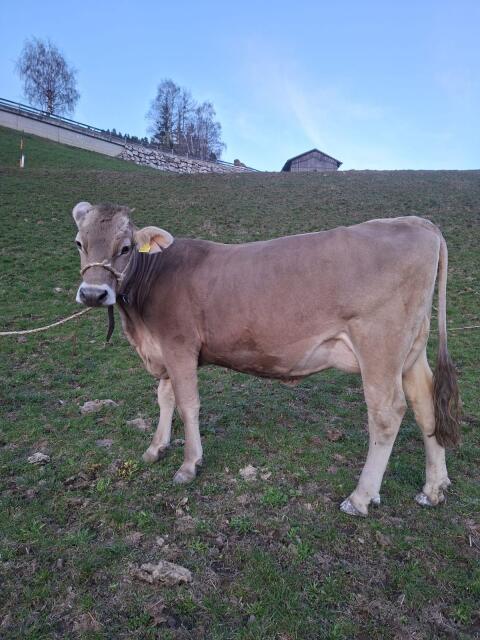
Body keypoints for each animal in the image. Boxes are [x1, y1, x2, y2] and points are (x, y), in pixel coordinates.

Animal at [72, 202, 460, 516]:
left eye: (124, 247)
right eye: (79, 242)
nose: (93, 294)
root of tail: (416, 222)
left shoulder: (179, 346)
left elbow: (187, 404)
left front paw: (188, 465)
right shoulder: (163, 351)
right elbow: (164, 398)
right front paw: (156, 448)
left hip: (380, 343)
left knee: (387, 412)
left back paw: (361, 498)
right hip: (411, 349)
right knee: (425, 403)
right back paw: (433, 488)